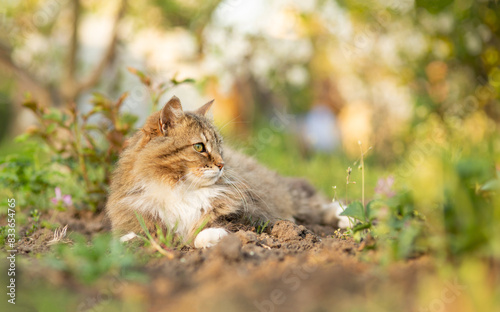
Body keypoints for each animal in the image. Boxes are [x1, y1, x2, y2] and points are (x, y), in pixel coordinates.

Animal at [106, 96, 340, 247]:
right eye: (199, 147)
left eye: (219, 145)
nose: (222, 164)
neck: (181, 188)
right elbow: (138, 237)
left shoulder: (250, 214)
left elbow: (210, 229)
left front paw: (213, 237)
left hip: (292, 196)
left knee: (320, 205)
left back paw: (343, 217)